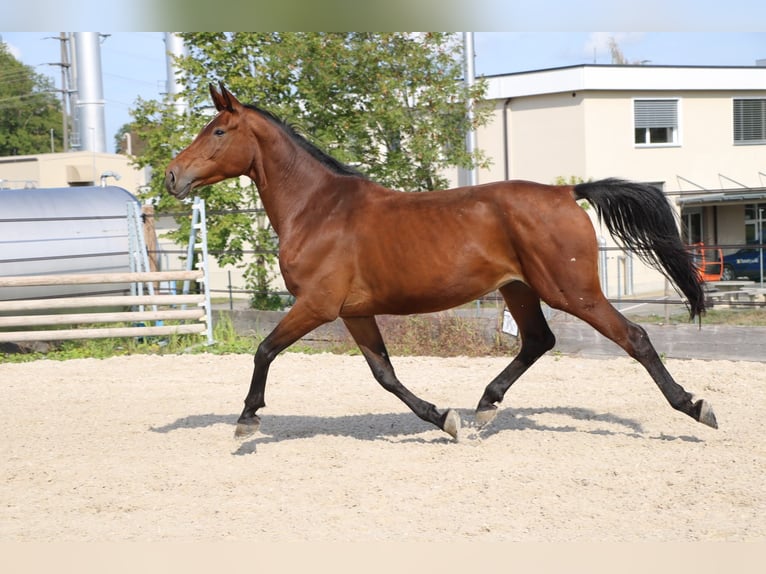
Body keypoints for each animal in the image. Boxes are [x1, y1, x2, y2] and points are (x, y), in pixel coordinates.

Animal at [165, 83, 717, 441]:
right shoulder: (354, 312)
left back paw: (695, 408)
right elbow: (385, 375)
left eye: (218, 131)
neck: (318, 207)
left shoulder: (317, 305)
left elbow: (264, 350)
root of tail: (566, 192)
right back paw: (485, 407)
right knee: (538, 341)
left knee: (634, 338)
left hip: (572, 291)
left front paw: (246, 420)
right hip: (519, 289)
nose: (172, 176)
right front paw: (444, 419)